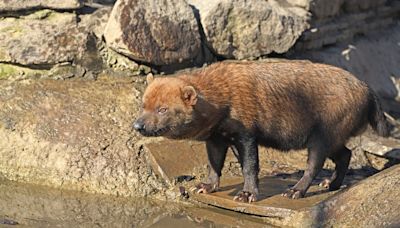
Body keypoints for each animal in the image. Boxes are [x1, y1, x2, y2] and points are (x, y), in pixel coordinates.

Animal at [133, 59, 390, 202]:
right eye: (144, 104)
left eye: (163, 108)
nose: (138, 125)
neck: (223, 96)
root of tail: (367, 88)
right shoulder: (217, 137)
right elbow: (214, 164)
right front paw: (205, 187)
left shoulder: (246, 135)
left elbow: (250, 167)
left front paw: (247, 194)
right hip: (332, 138)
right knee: (345, 154)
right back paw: (331, 185)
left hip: (322, 136)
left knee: (315, 165)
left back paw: (296, 191)